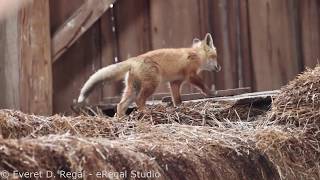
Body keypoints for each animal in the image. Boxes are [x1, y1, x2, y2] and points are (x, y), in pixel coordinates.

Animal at [78, 33, 220, 117]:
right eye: (215, 56)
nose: (219, 67)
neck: (197, 54)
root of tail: (133, 59)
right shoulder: (191, 75)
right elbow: (203, 86)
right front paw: (211, 93)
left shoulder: (175, 82)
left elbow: (177, 99)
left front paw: (179, 108)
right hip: (152, 84)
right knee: (139, 100)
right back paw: (145, 112)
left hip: (133, 89)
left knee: (120, 105)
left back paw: (121, 119)